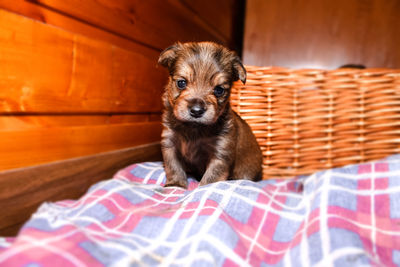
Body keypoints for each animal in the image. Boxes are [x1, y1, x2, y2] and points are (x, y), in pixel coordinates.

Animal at [158, 42, 264, 188]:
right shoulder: (170, 144)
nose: (196, 110)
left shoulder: (220, 153)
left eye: (219, 90)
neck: (194, 128)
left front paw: (202, 189)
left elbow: (211, 178)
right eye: (181, 83)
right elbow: (173, 167)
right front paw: (175, 185)